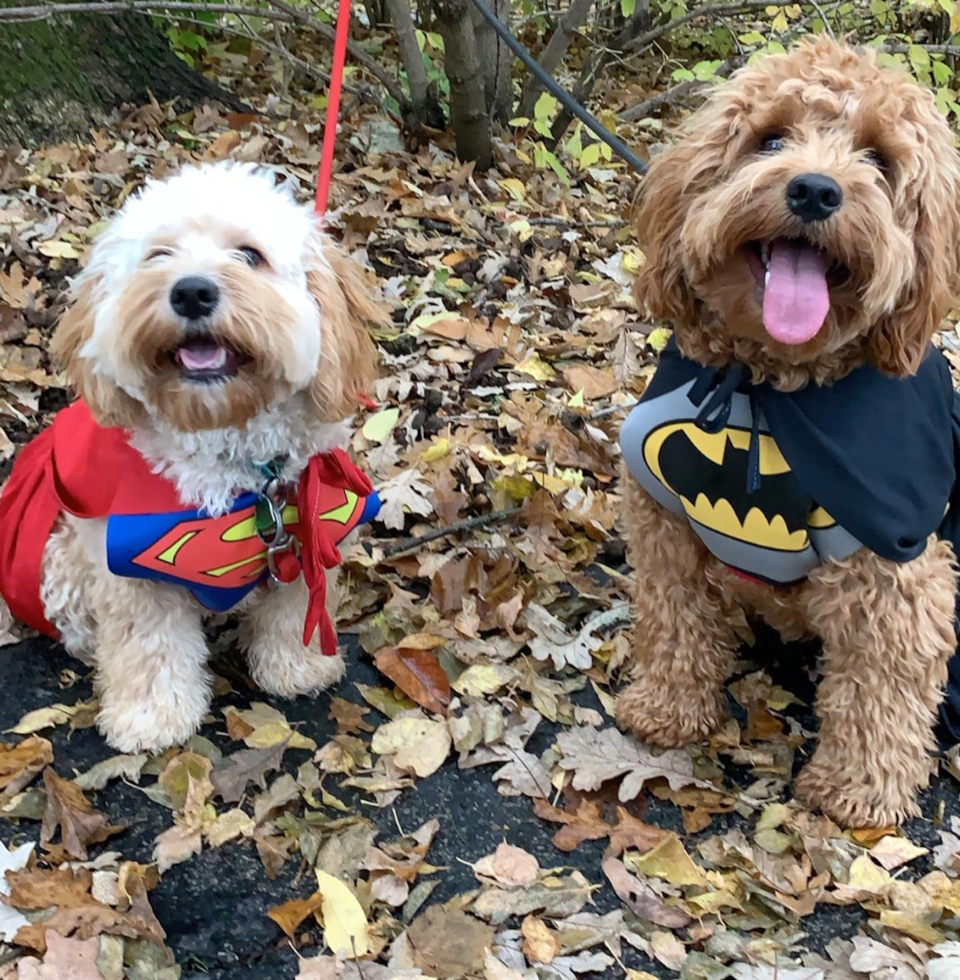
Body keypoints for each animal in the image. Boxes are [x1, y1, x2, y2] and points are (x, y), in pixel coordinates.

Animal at [620, 38, 960, 828]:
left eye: (878, 159)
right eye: (770, 139)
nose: (814, 191)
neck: (772, 385)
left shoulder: (897, 575)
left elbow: (882, 687)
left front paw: (857, 790)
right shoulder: (664, 517)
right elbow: (674, 615)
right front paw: (668, 707)